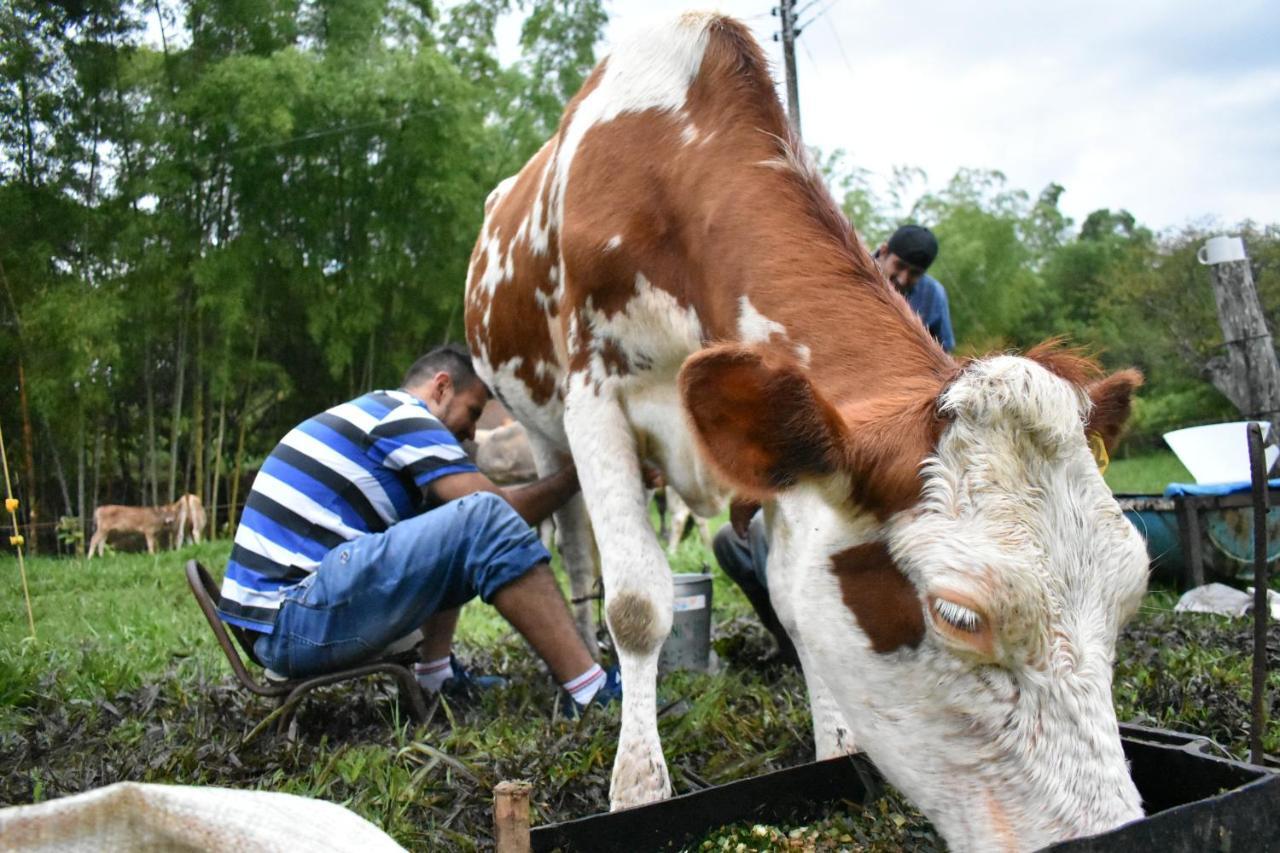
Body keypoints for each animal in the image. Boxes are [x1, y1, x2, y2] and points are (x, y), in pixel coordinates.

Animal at [465, 11, 1146, 845]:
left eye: (1133, 587)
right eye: (959, 614)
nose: (1119, 830)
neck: (668, 171)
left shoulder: (786, 445)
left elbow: (791, 597)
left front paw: (835, 746)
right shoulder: (595, 397)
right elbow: (639, 604)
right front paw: (637, 787)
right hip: (542, 433)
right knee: (579, 556)